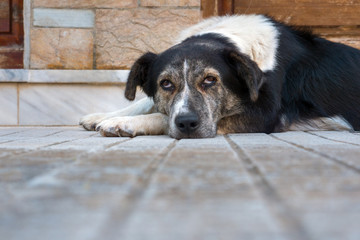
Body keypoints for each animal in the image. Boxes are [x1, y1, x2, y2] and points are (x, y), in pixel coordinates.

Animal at [81, 14, 360, 139]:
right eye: (166, 84)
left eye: (210, 80)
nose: (187, 124)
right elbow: (145, 103)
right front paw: (102, 116)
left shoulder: (264, 115)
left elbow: (162, 116)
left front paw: (122, 123)